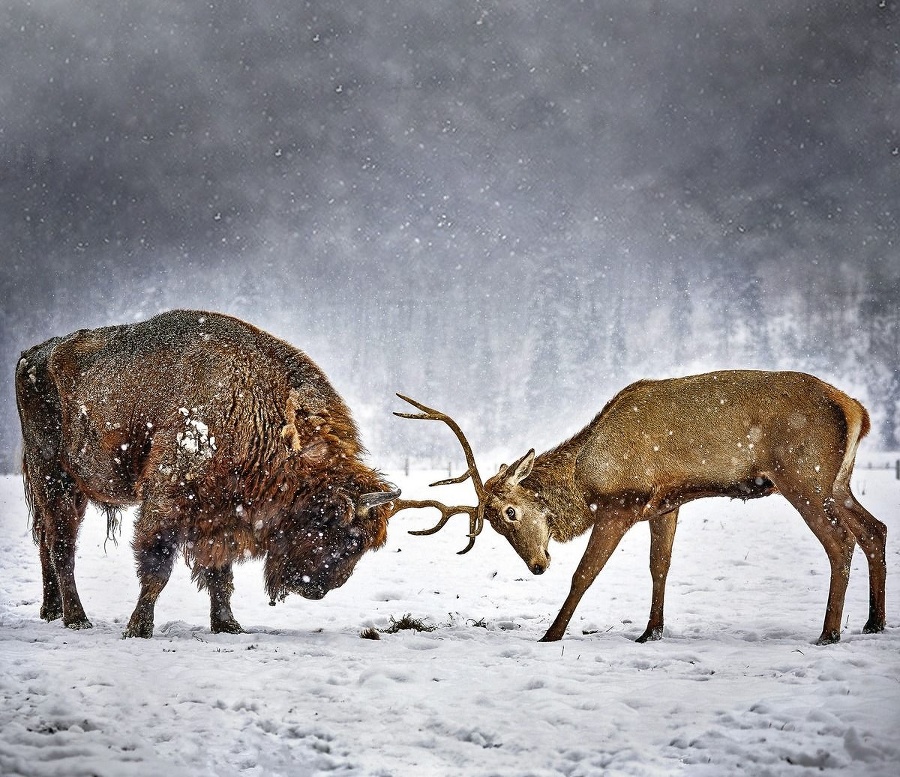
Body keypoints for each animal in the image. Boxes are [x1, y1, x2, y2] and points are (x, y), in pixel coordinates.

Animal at [14, 310, 398, 636]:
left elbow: (219, 573)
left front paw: (228, 625)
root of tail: (32, 355)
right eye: (341, 533)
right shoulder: (167, 501)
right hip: (54, 479)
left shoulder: (221, 513)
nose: (317, 588)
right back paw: (76, 618)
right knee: (61, 546)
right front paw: (138, 628)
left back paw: (51, 610)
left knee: (45, 541)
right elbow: (157, 568)